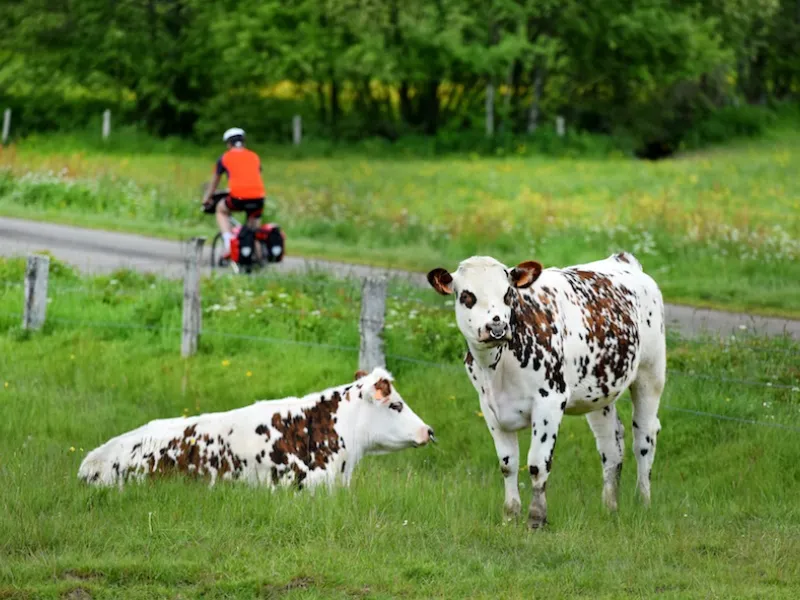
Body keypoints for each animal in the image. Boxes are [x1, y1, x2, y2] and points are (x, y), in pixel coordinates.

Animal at [427, 252, 665, 528]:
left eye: (508, 293)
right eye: (467, 296)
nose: (496, 328)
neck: (498, 366)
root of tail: (622, 259)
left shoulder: (550, 400)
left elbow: (537, 464)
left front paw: (536, 518)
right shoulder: (488, 407)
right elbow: (508, 463)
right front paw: (510, 513)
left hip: (650, 373)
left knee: (644, 437)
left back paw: (643, 501)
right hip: (600, 391)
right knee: (611, 446)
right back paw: (610, 507)